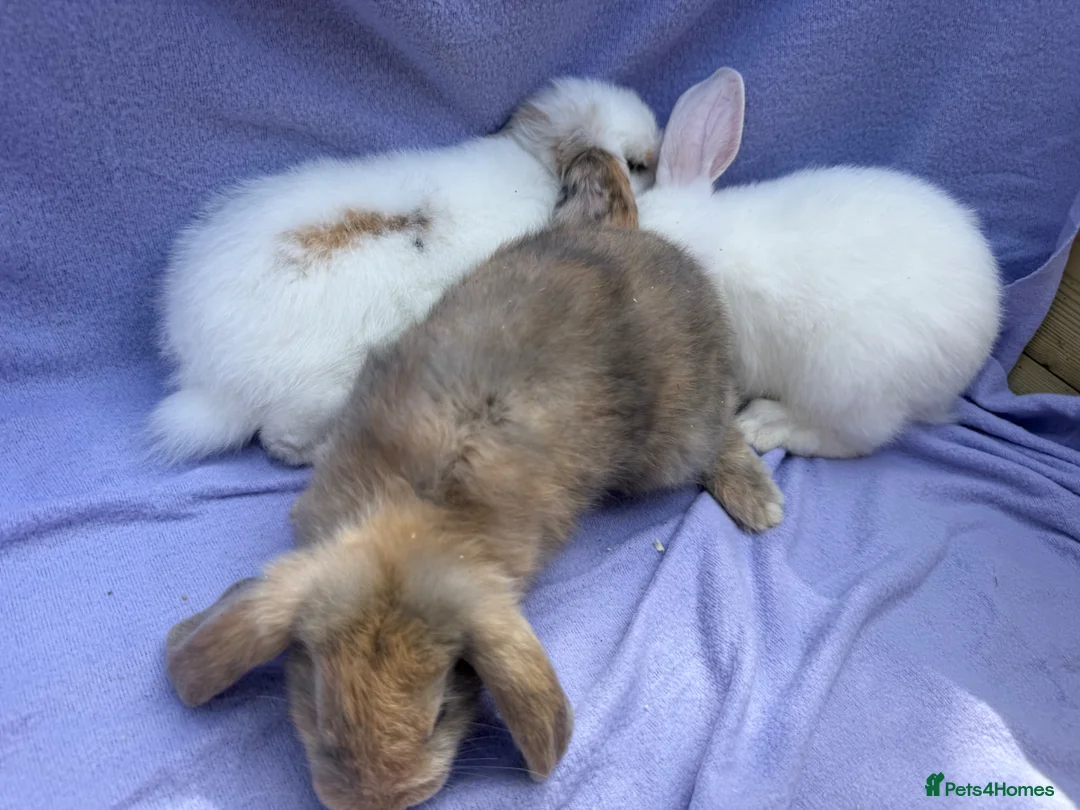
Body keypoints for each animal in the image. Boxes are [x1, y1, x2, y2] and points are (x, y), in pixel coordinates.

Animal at [149, 77, 662, 467]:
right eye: (636, 165)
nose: (659, 166)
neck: (538, 164)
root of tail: (209, 373)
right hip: (320, 394)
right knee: (281, 442)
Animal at [165, 142, 783, 810]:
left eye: (438, 713)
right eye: (324, 709)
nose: (374, 802)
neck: (415, 516)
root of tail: (626, 234)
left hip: (675, 438)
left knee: (720, 432)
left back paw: (759, 501)